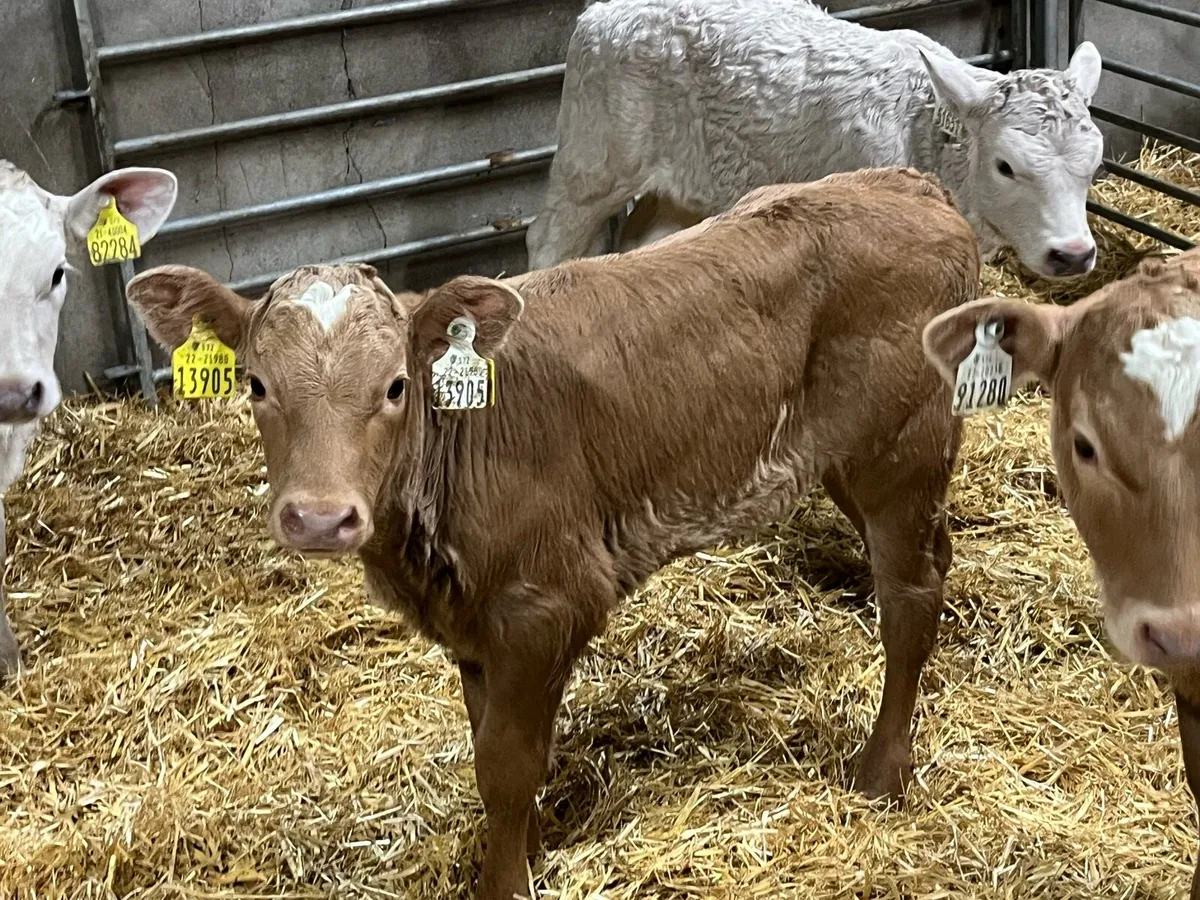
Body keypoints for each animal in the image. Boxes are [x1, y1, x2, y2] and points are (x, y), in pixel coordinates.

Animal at [127, 167, 979, 900]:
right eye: (255, 384)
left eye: (396, 387)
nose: (318, 517)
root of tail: (906, 182)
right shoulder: (473, 623)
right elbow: (488, 746)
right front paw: (529, 847)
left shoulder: (546, 601)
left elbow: (508, 763)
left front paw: (506, 881)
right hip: (842, 458)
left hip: (901, 450)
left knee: (911, 597)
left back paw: (881, 773)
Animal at [526, 0, 1104, 280]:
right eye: (1006, 166)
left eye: (1093, 166)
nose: (1073, 255)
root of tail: (602, 11)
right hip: (596, 156)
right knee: (548, 237)